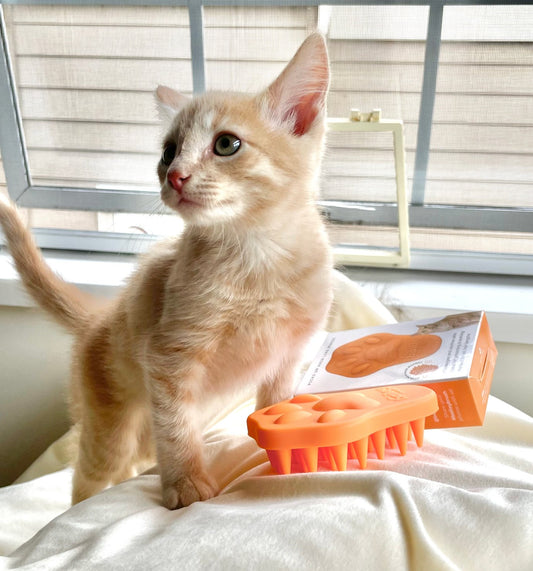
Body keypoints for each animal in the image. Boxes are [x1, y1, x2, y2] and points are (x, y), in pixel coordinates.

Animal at [0, 34, 332, 510]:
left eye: (226, 144)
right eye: (168, 152)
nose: (174, 175)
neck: (259, 257)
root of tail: (101, 318)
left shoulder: (286, 357)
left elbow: (277, 406)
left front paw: (290, 452)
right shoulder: (168, 358)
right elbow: (177, 427)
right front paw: (187, 483)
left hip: (139, 433)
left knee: (131, 461)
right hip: (111, 426)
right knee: (88, 477)